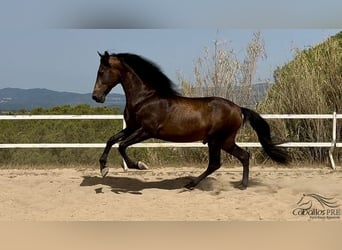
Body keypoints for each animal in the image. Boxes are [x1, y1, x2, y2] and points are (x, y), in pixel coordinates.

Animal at [91, 51, 288, 190]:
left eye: (101, 72)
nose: (96, 97)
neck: (144, 99)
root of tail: (239, 108)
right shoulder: (131, 128)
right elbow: (111, 140)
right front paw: (103, 169)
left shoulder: (146, 131)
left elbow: (121, 145)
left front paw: (139, 165)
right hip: (225, 141)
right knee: (244, 156)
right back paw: (242, 185)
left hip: (216, 140)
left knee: (216, 163)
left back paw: (191, 184)